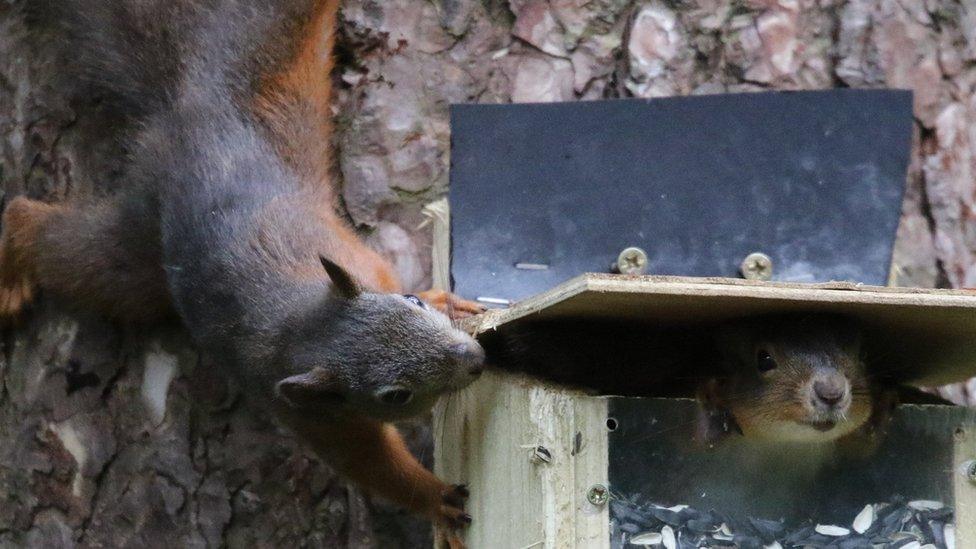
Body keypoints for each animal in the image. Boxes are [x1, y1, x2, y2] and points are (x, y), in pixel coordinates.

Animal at [2, 0, 484, 540]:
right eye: (395, 395)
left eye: (412, 303)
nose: (475, 359)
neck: (302, 319)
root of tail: (189, 109)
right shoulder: (310, 414)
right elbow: (370, 464)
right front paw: (436, 499)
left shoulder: (364, 264)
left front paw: (445, 298)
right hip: (136, 251)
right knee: (63, 248)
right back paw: (13, 259)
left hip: (265, 51)